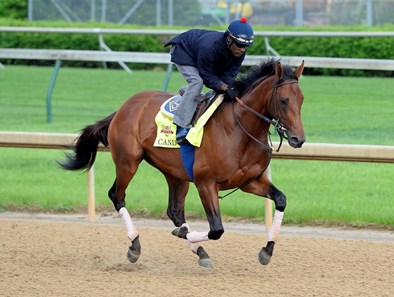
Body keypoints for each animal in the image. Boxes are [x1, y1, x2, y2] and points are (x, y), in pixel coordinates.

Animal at [59, 58, 304, 268]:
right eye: (283, 100)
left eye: (301, 99)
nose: (298, 139)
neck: (238, 130)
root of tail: (123, 108)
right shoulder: (206, 183)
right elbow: (216, 229)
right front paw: (184, 234)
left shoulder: (251, 181)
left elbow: (281, 200)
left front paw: (267, 250)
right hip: (128, 162)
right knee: (117, 195)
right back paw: (136, 245)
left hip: (175, 173)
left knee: (175, 211)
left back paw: (199, 251)